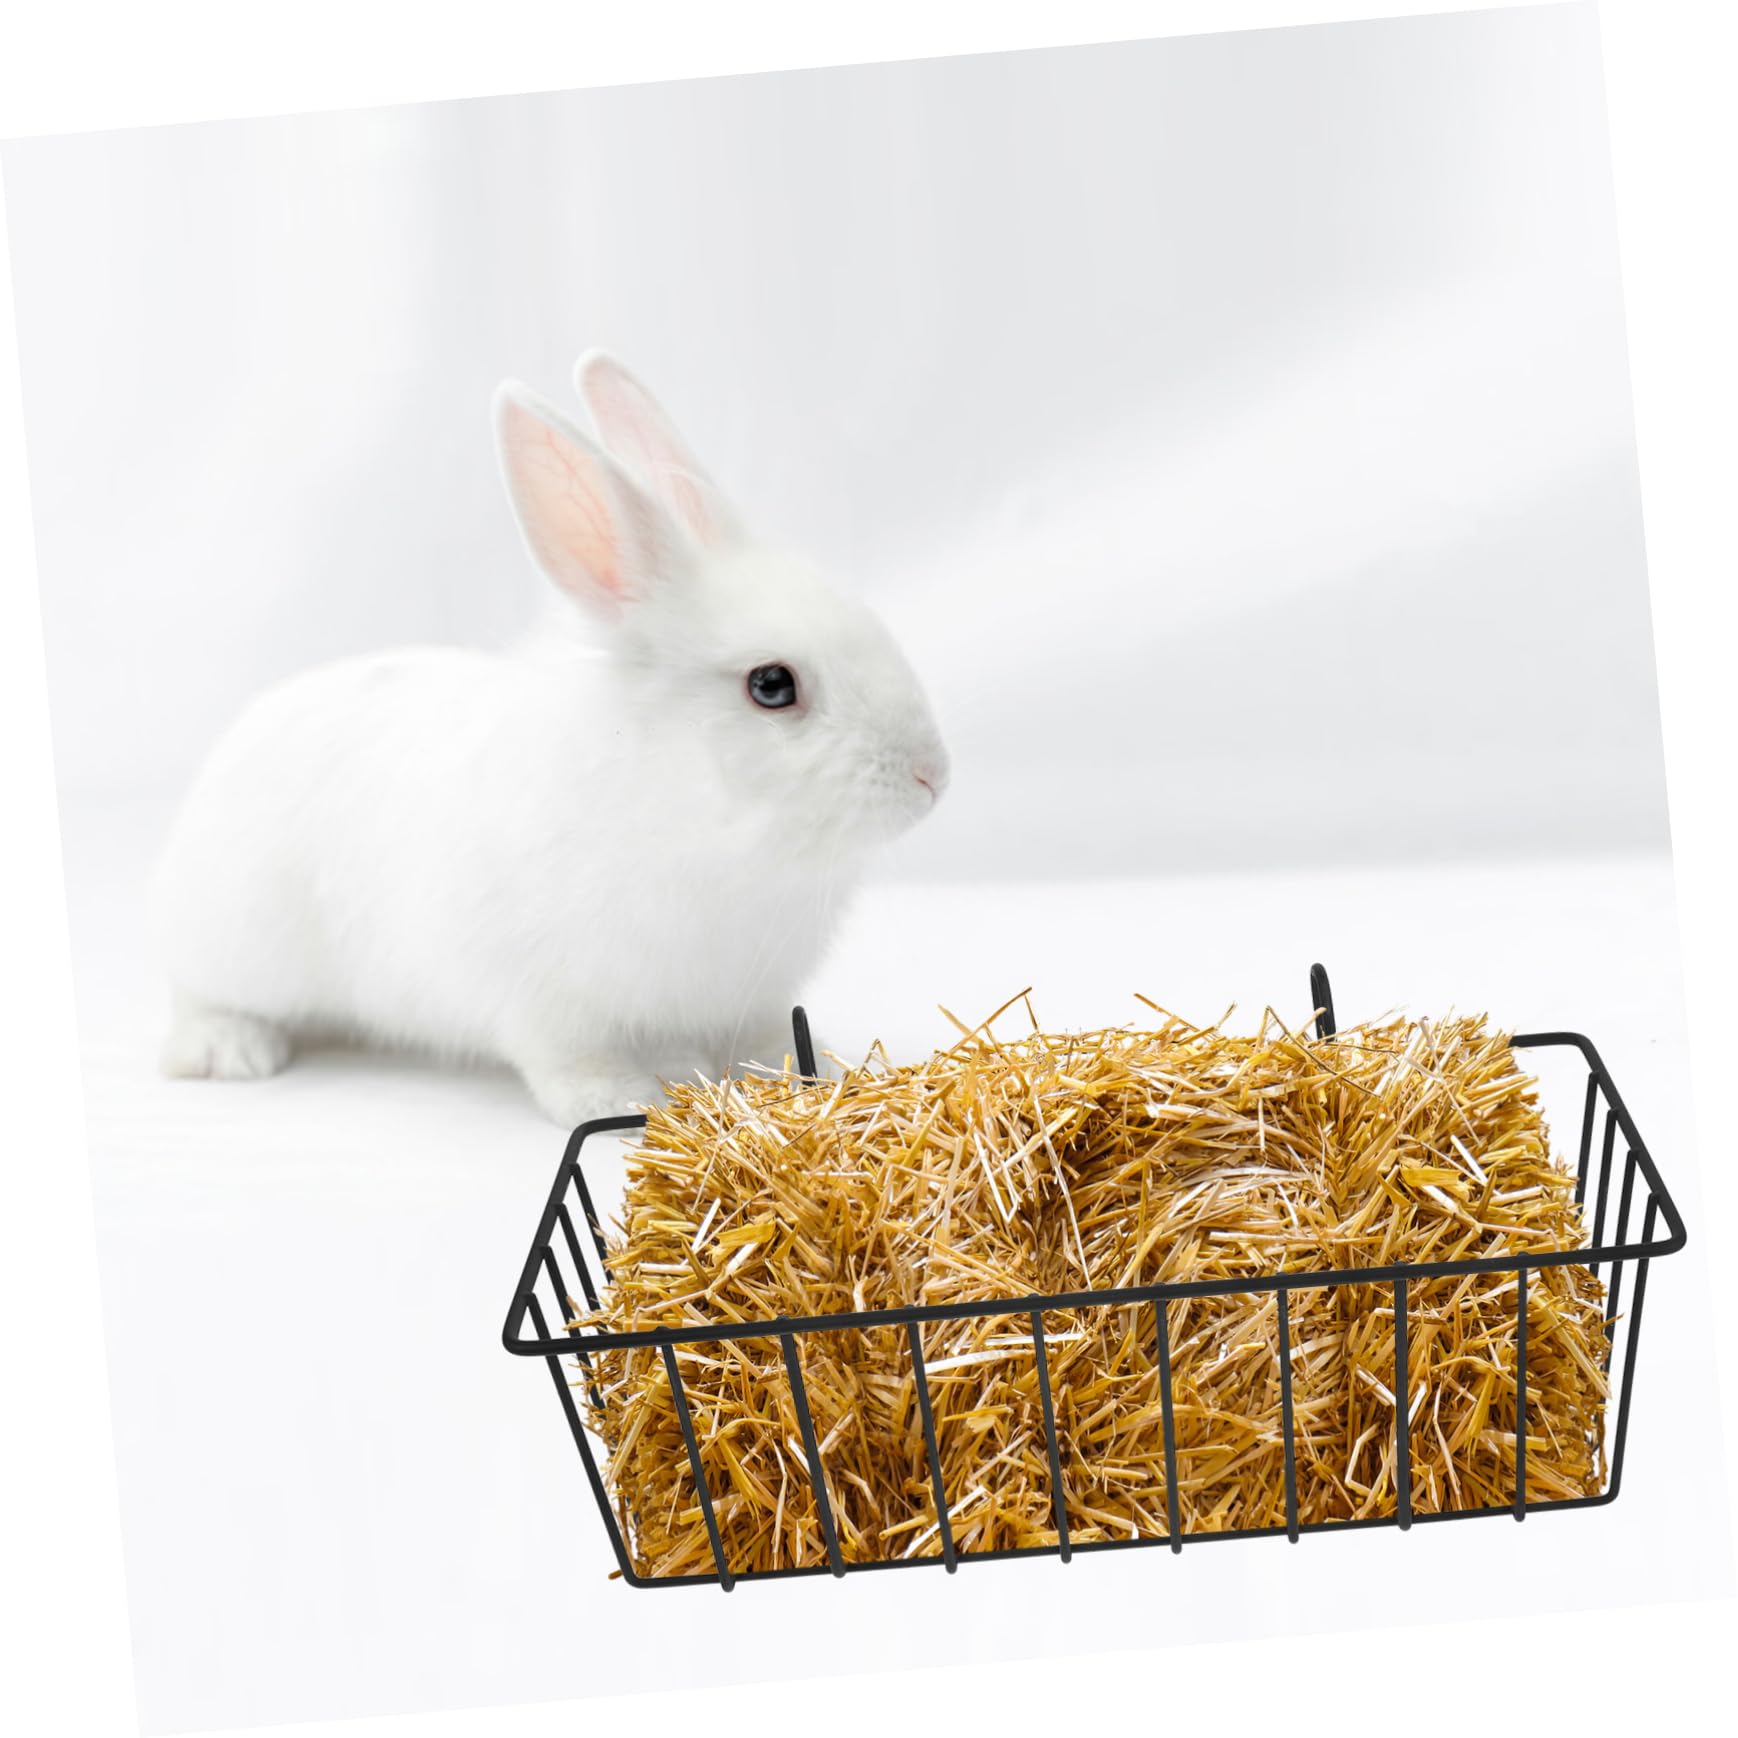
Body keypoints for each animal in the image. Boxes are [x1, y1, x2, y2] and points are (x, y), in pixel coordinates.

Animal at [151, 352, 949, 1125]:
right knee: (197, 997)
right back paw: (231, 1052)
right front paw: (622, 1100)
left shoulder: (753, 996)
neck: (701, 819)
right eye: (773, 685)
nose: (934, 776)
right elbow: (571, 1059)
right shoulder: (545, 1001)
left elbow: (762, 1039)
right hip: (240, 946)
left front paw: (813, 1076)